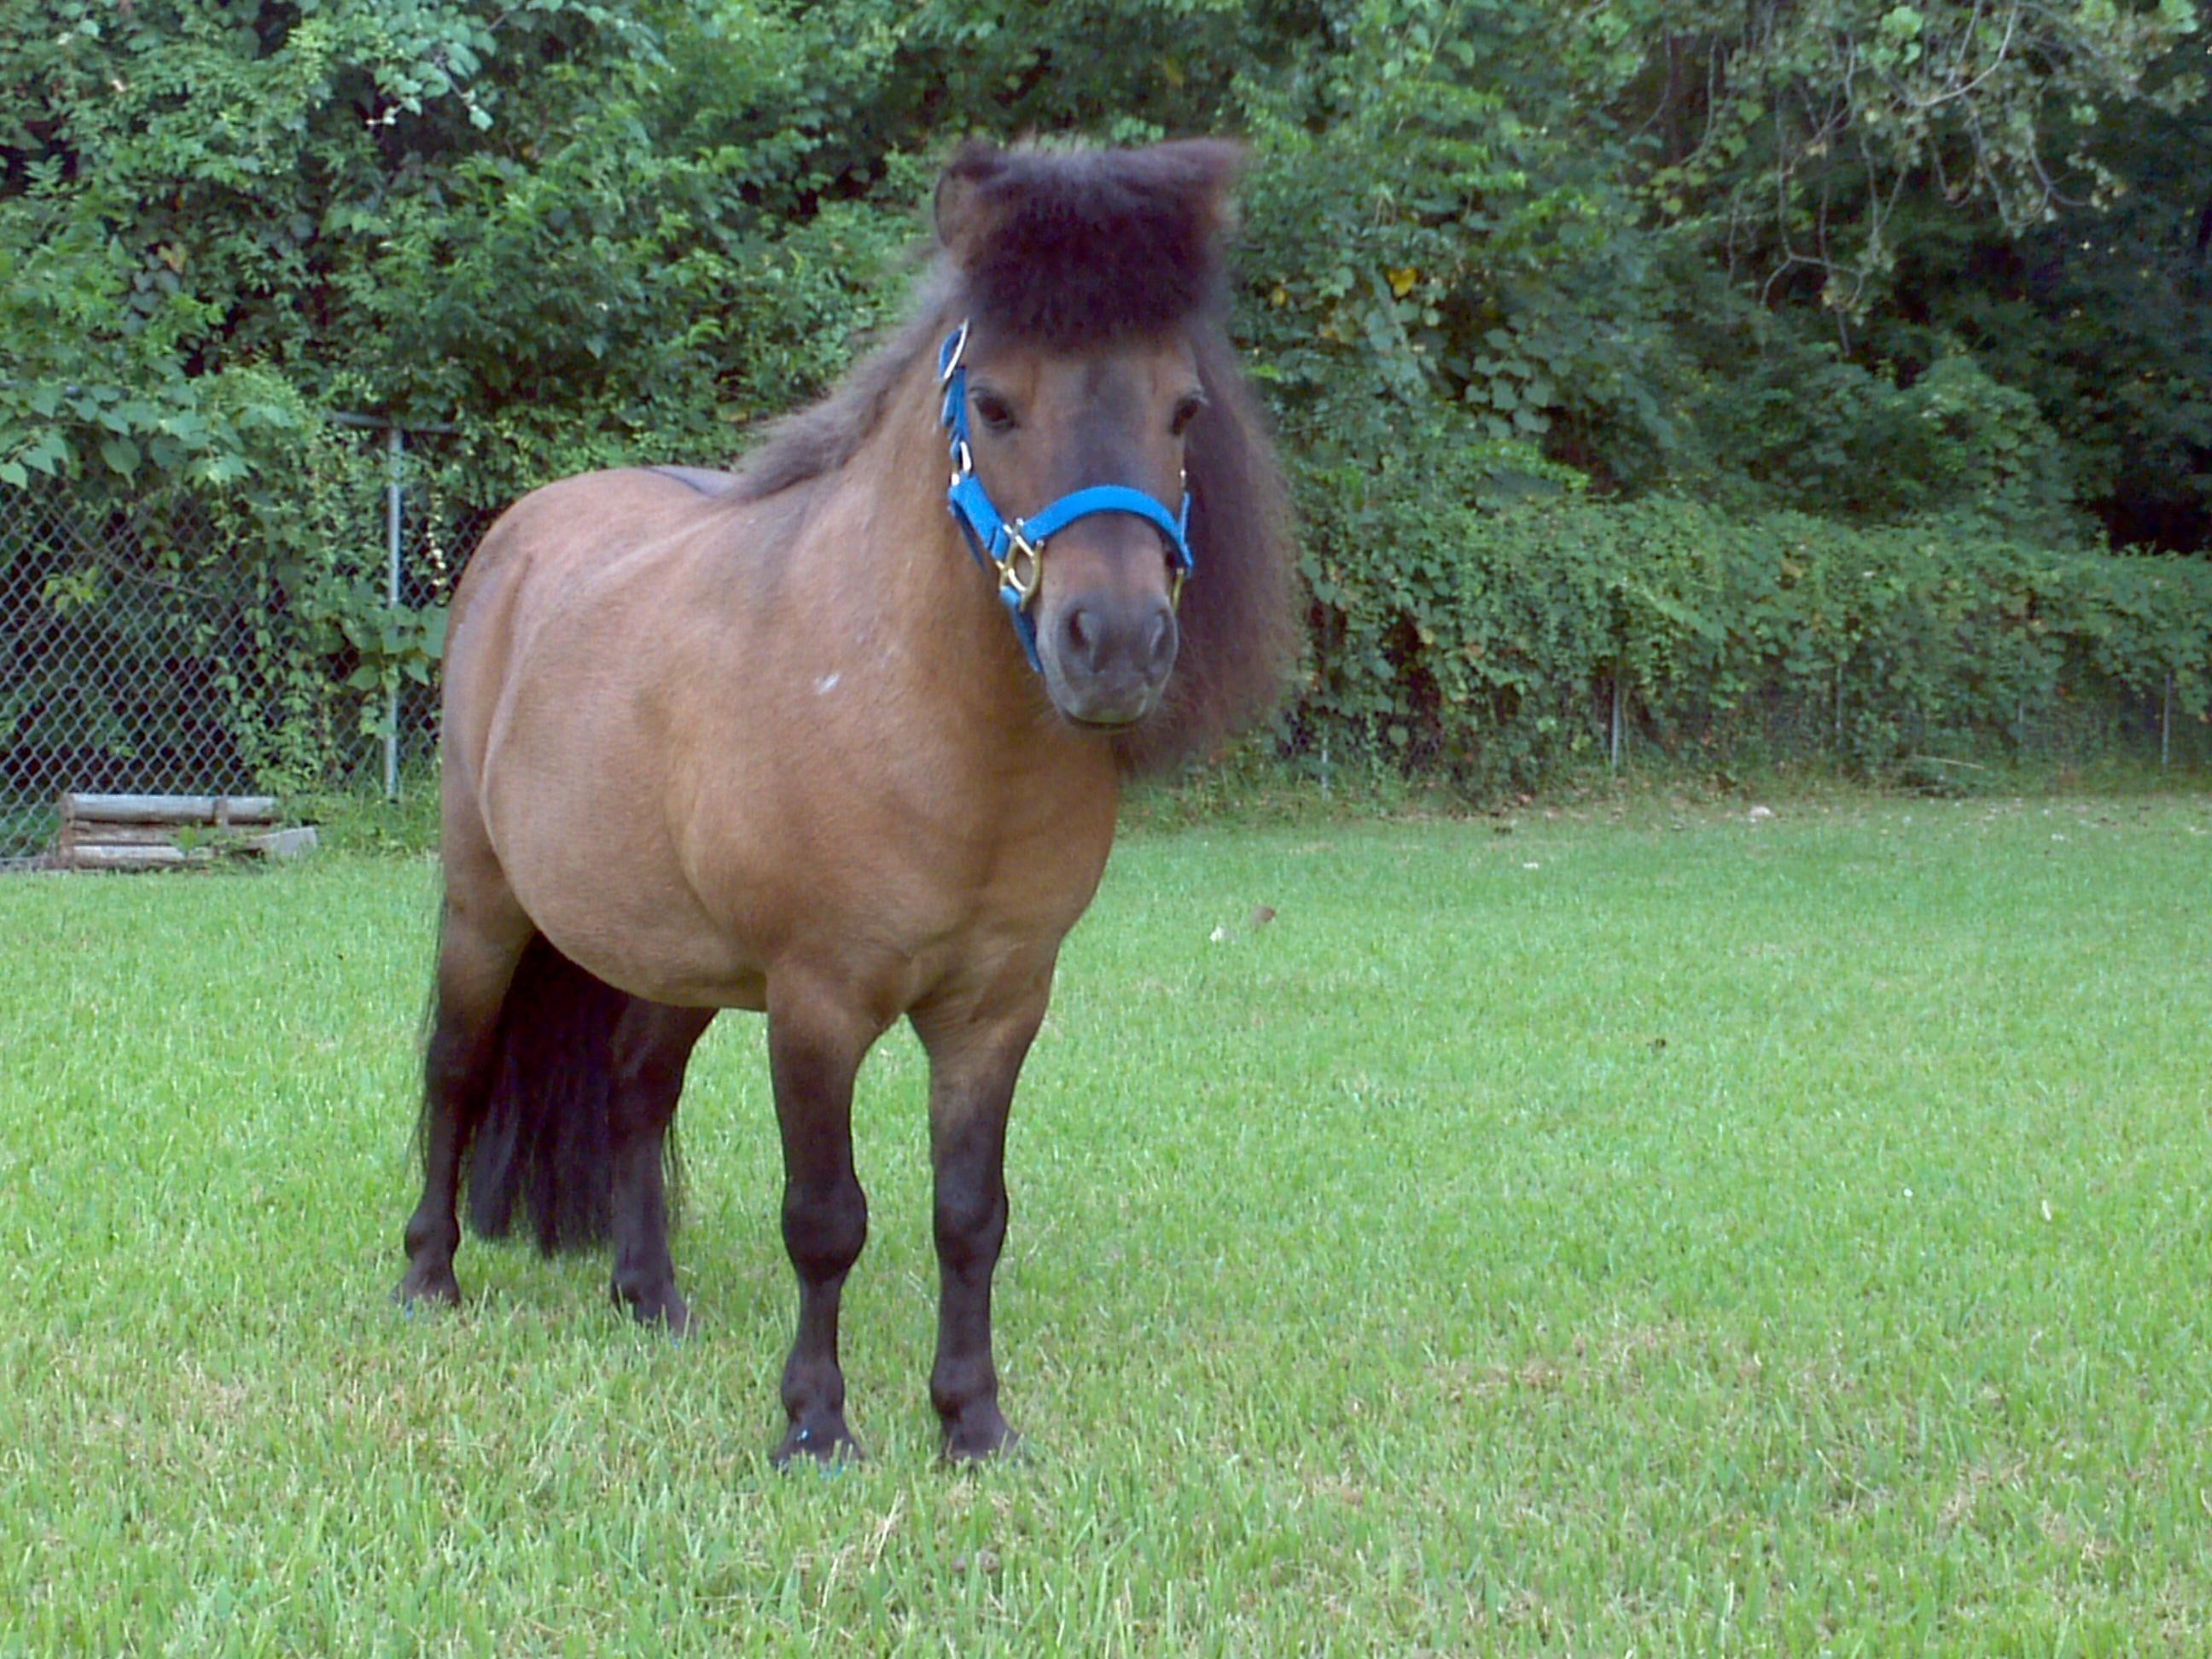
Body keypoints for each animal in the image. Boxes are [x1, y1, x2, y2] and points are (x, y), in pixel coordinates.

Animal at [394, 138, 1298, 1463]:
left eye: (1183, 409)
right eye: (996, 405)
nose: (1116, 645)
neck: (933, 731)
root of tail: (518, 539)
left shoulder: (996, 1007)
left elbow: (970, 1214)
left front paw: (972, 1420)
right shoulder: (816, 1003)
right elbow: (826, 1218)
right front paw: (816, 1426)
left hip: (672, 955)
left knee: (635, 1086)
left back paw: (649, 1294)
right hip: (485, 906)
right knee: (457, 1071)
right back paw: (428, 1277)